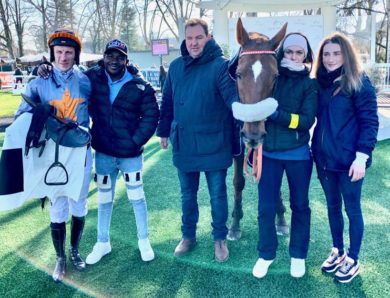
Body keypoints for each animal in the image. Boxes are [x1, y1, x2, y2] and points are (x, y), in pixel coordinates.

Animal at [229, 19, 286, 240]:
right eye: (238, 74)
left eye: (276, 76)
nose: (253, 136)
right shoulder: (237, 142)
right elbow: (238, 181)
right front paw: (235, 224)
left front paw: (281, 219)